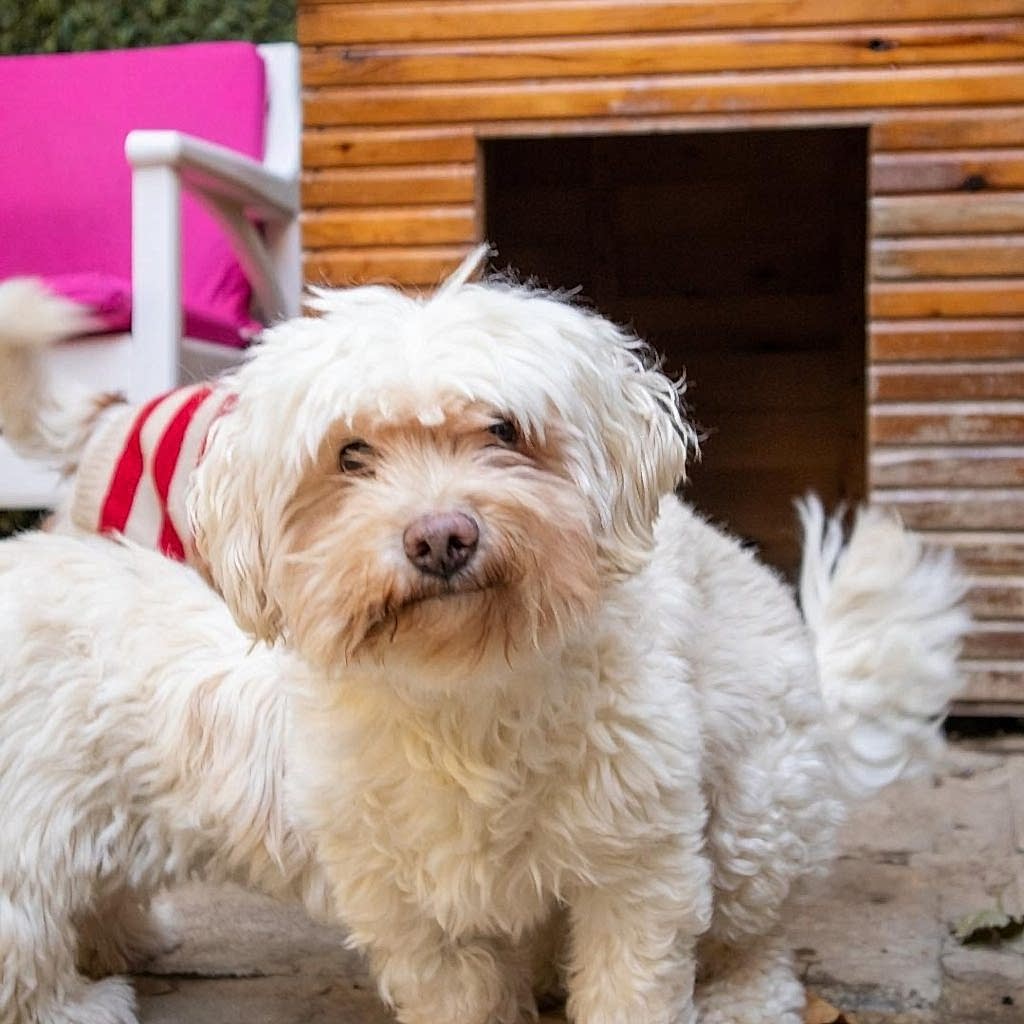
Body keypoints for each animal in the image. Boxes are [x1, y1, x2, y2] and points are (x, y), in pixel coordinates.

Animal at [0, 251, 968, 1024]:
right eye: (350, 455)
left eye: (503, 430)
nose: (441, 537)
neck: (462, 691)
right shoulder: (413, 903)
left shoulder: (638, 867)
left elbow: (635, 983)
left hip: (756, 815)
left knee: (753, 940)